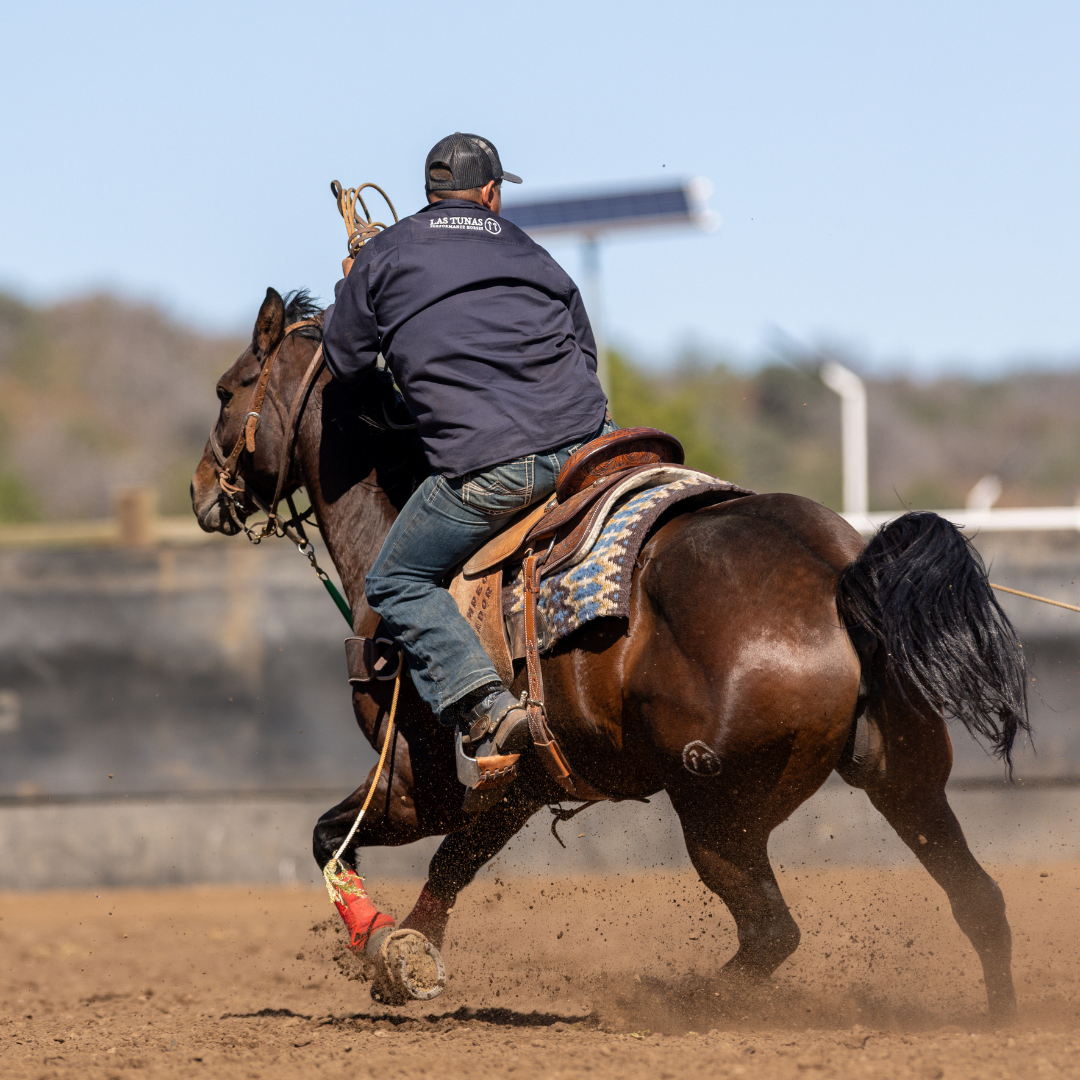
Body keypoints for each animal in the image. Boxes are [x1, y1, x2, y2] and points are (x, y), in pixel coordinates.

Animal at [190, 287, 1029, 1024]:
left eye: (227, 389)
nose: (202, 491)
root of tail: (834, 572)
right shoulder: (524, 777)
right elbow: (456, 858)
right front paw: (409, 958)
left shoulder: (411, 779)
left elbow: (334, 839)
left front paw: (380, 943)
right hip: (906, 778)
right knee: (979, 901)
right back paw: (1001, 1023)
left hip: (719, 813)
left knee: (772, 931)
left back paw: (681, 1001)